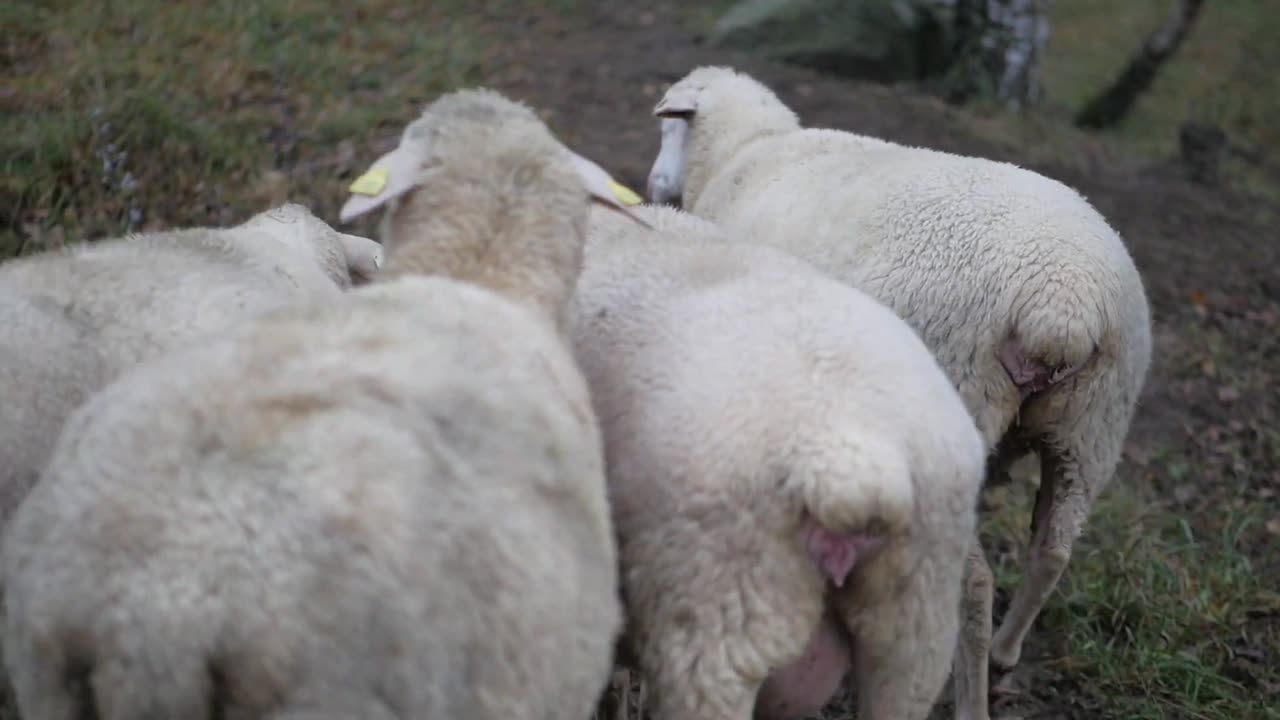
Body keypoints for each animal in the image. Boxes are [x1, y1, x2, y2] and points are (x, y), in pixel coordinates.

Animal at [645, 63, 1157, 717]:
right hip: (1092, 428)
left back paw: (969, 696)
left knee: (973, 582)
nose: (654, 187)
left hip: (959, 407)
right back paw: (1006, 652)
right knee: (1053, 551)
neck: (748, 153)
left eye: (670, 125)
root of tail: (1062, 304)